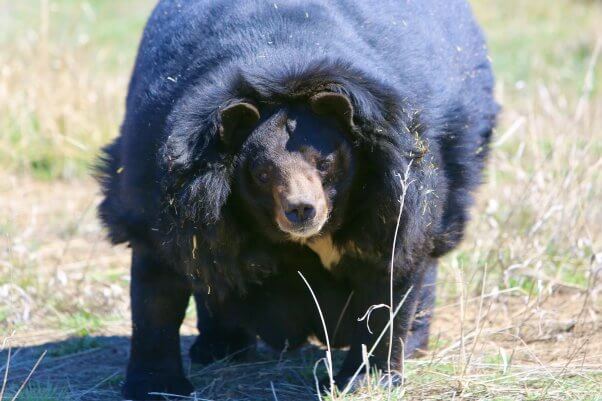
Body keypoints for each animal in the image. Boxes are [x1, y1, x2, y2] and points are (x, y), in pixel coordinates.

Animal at [95, 1, 496, 398]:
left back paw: (413, 342)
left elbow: (391, 273)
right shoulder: (167, 189)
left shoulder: (395, 186)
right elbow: (159, 284)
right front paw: (155, 385)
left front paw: (366, 379)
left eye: (325, 164)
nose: (302, 210)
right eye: (262, 173)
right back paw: (219, 346)